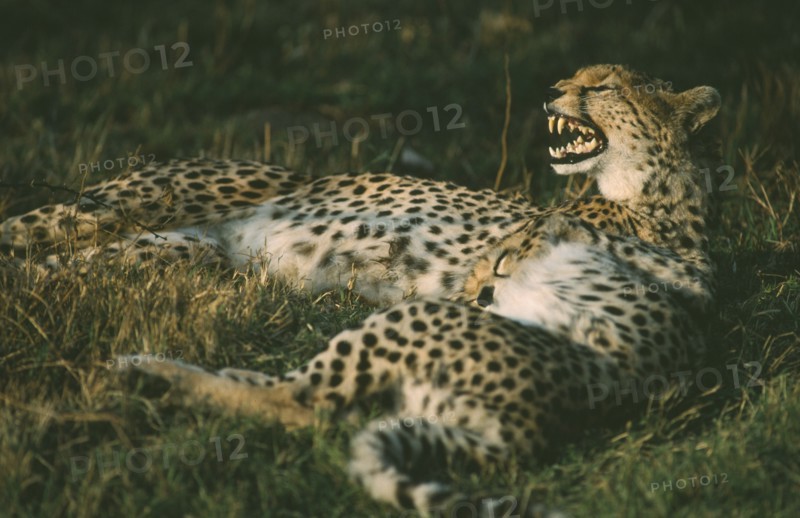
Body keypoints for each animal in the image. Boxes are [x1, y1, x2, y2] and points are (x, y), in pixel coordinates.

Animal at [1, 64, 722, 515]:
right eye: (574, 79)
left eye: (602, 85)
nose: (551, 91)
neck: (652, 197)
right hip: (127, 208)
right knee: (26, 239)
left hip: (172, 249)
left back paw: (148, 368)